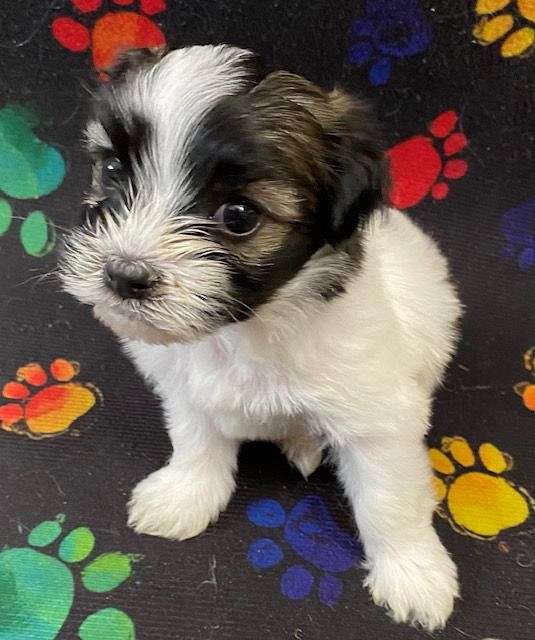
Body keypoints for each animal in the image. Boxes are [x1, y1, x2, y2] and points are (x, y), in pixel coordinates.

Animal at [57, 43, 460, 632]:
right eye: (111, 169)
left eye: (240, 216)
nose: (124, 276)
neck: (244, 330)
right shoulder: (185, 389)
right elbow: (196, 440)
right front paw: (185, 495)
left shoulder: (380, 418)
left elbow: (390, 498)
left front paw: (413, 573)